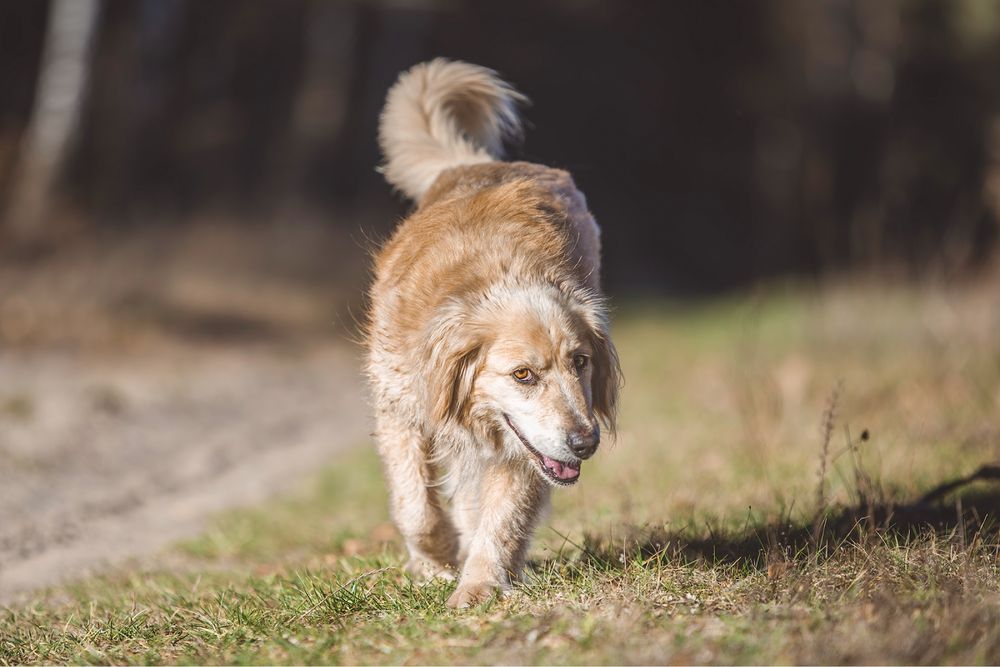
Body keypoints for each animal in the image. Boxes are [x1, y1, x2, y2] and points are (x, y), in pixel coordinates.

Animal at [368, 60, 616, 608]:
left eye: (581, 362)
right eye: (522, 375)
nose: (585, 442)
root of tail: (471, 164)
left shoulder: (523, 452)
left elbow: (502, 517)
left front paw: (479, 585)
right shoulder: (399, 409)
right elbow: (416, 508)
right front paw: (436, 561)